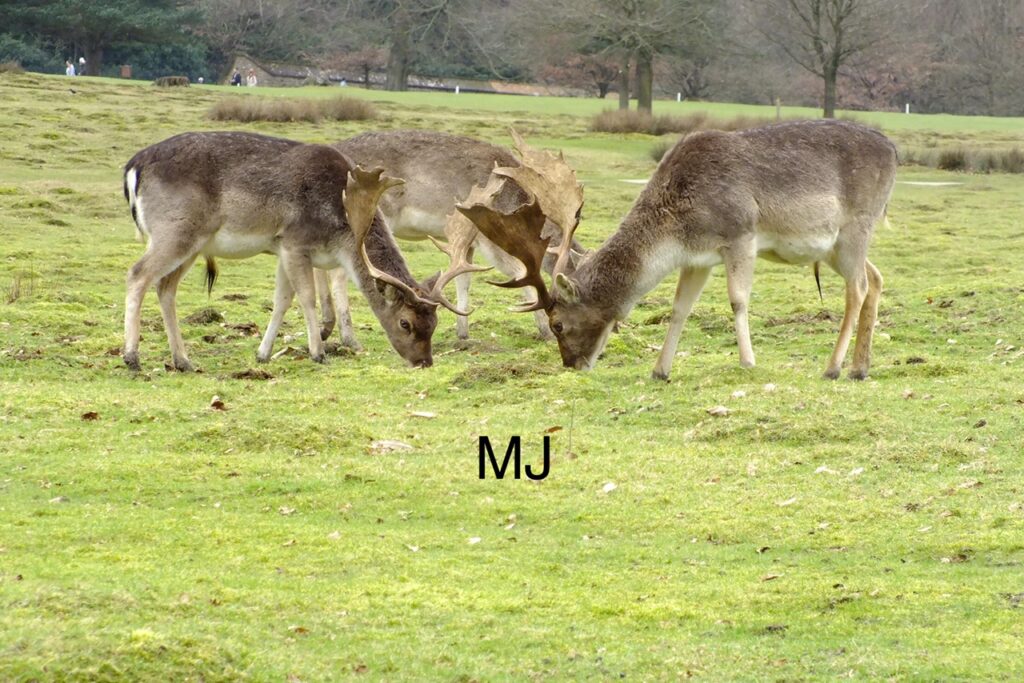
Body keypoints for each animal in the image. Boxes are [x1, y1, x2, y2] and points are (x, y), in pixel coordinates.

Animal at [121, 131, 471, 372]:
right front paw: (317, 352)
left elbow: (281, 300)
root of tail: (134, 166)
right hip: (174, 231)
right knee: (137, 274)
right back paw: (132, 356)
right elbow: (306, 297)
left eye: (434, 323)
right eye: (404, 323)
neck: (342, 233)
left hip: (194, 244)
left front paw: (263, 353)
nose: (424, 361)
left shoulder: (281, 249)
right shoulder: (295, 241)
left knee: (165, 286)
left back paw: (183, 360)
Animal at [313, 129, 584, 348]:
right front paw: (544, 332)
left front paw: (463, 334)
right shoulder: (489, 240)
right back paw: (349, 339)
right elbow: (519, 274)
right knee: (340, 272)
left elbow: (464, 281)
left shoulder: (469, 243)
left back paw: (326, 329)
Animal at [458, 121, 898, 381]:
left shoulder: (741, 232)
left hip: (856, 225)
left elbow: (738, 300)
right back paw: (861, 367)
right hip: (835, 247)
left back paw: (834, 367)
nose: (572, 365)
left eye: (558, 325)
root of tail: (894, 150)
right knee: (876, 278)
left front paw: (748, 361)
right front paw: (660, 370)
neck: (677, 226)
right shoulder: (698, 257)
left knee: (858, 287)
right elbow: (680, 308)